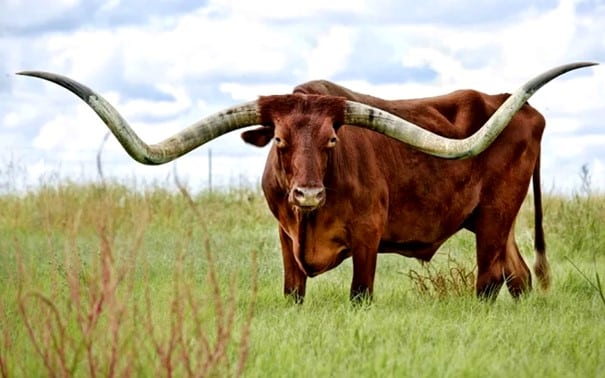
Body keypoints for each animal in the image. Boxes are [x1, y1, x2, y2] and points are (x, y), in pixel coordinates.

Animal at [17, 62, 596, 304]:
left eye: (333, 140)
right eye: (278, 140)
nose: (309, 193)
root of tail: (523, 109)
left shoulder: (367, 238)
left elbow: (360, 295)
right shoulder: (283, 238)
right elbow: (292, 293)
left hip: (496, 217)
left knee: (489, 281)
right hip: (497, 222)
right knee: (518, 276)